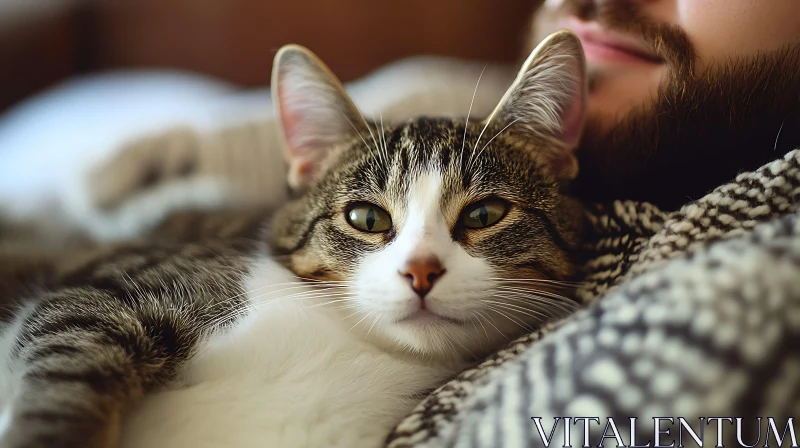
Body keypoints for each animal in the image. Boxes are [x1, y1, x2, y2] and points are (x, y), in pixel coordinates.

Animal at [0, 30, 588, 448]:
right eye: (366, 218)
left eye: (485, 213)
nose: (420, 271)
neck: (354, 346)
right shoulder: (108, 286)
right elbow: (68, 368)